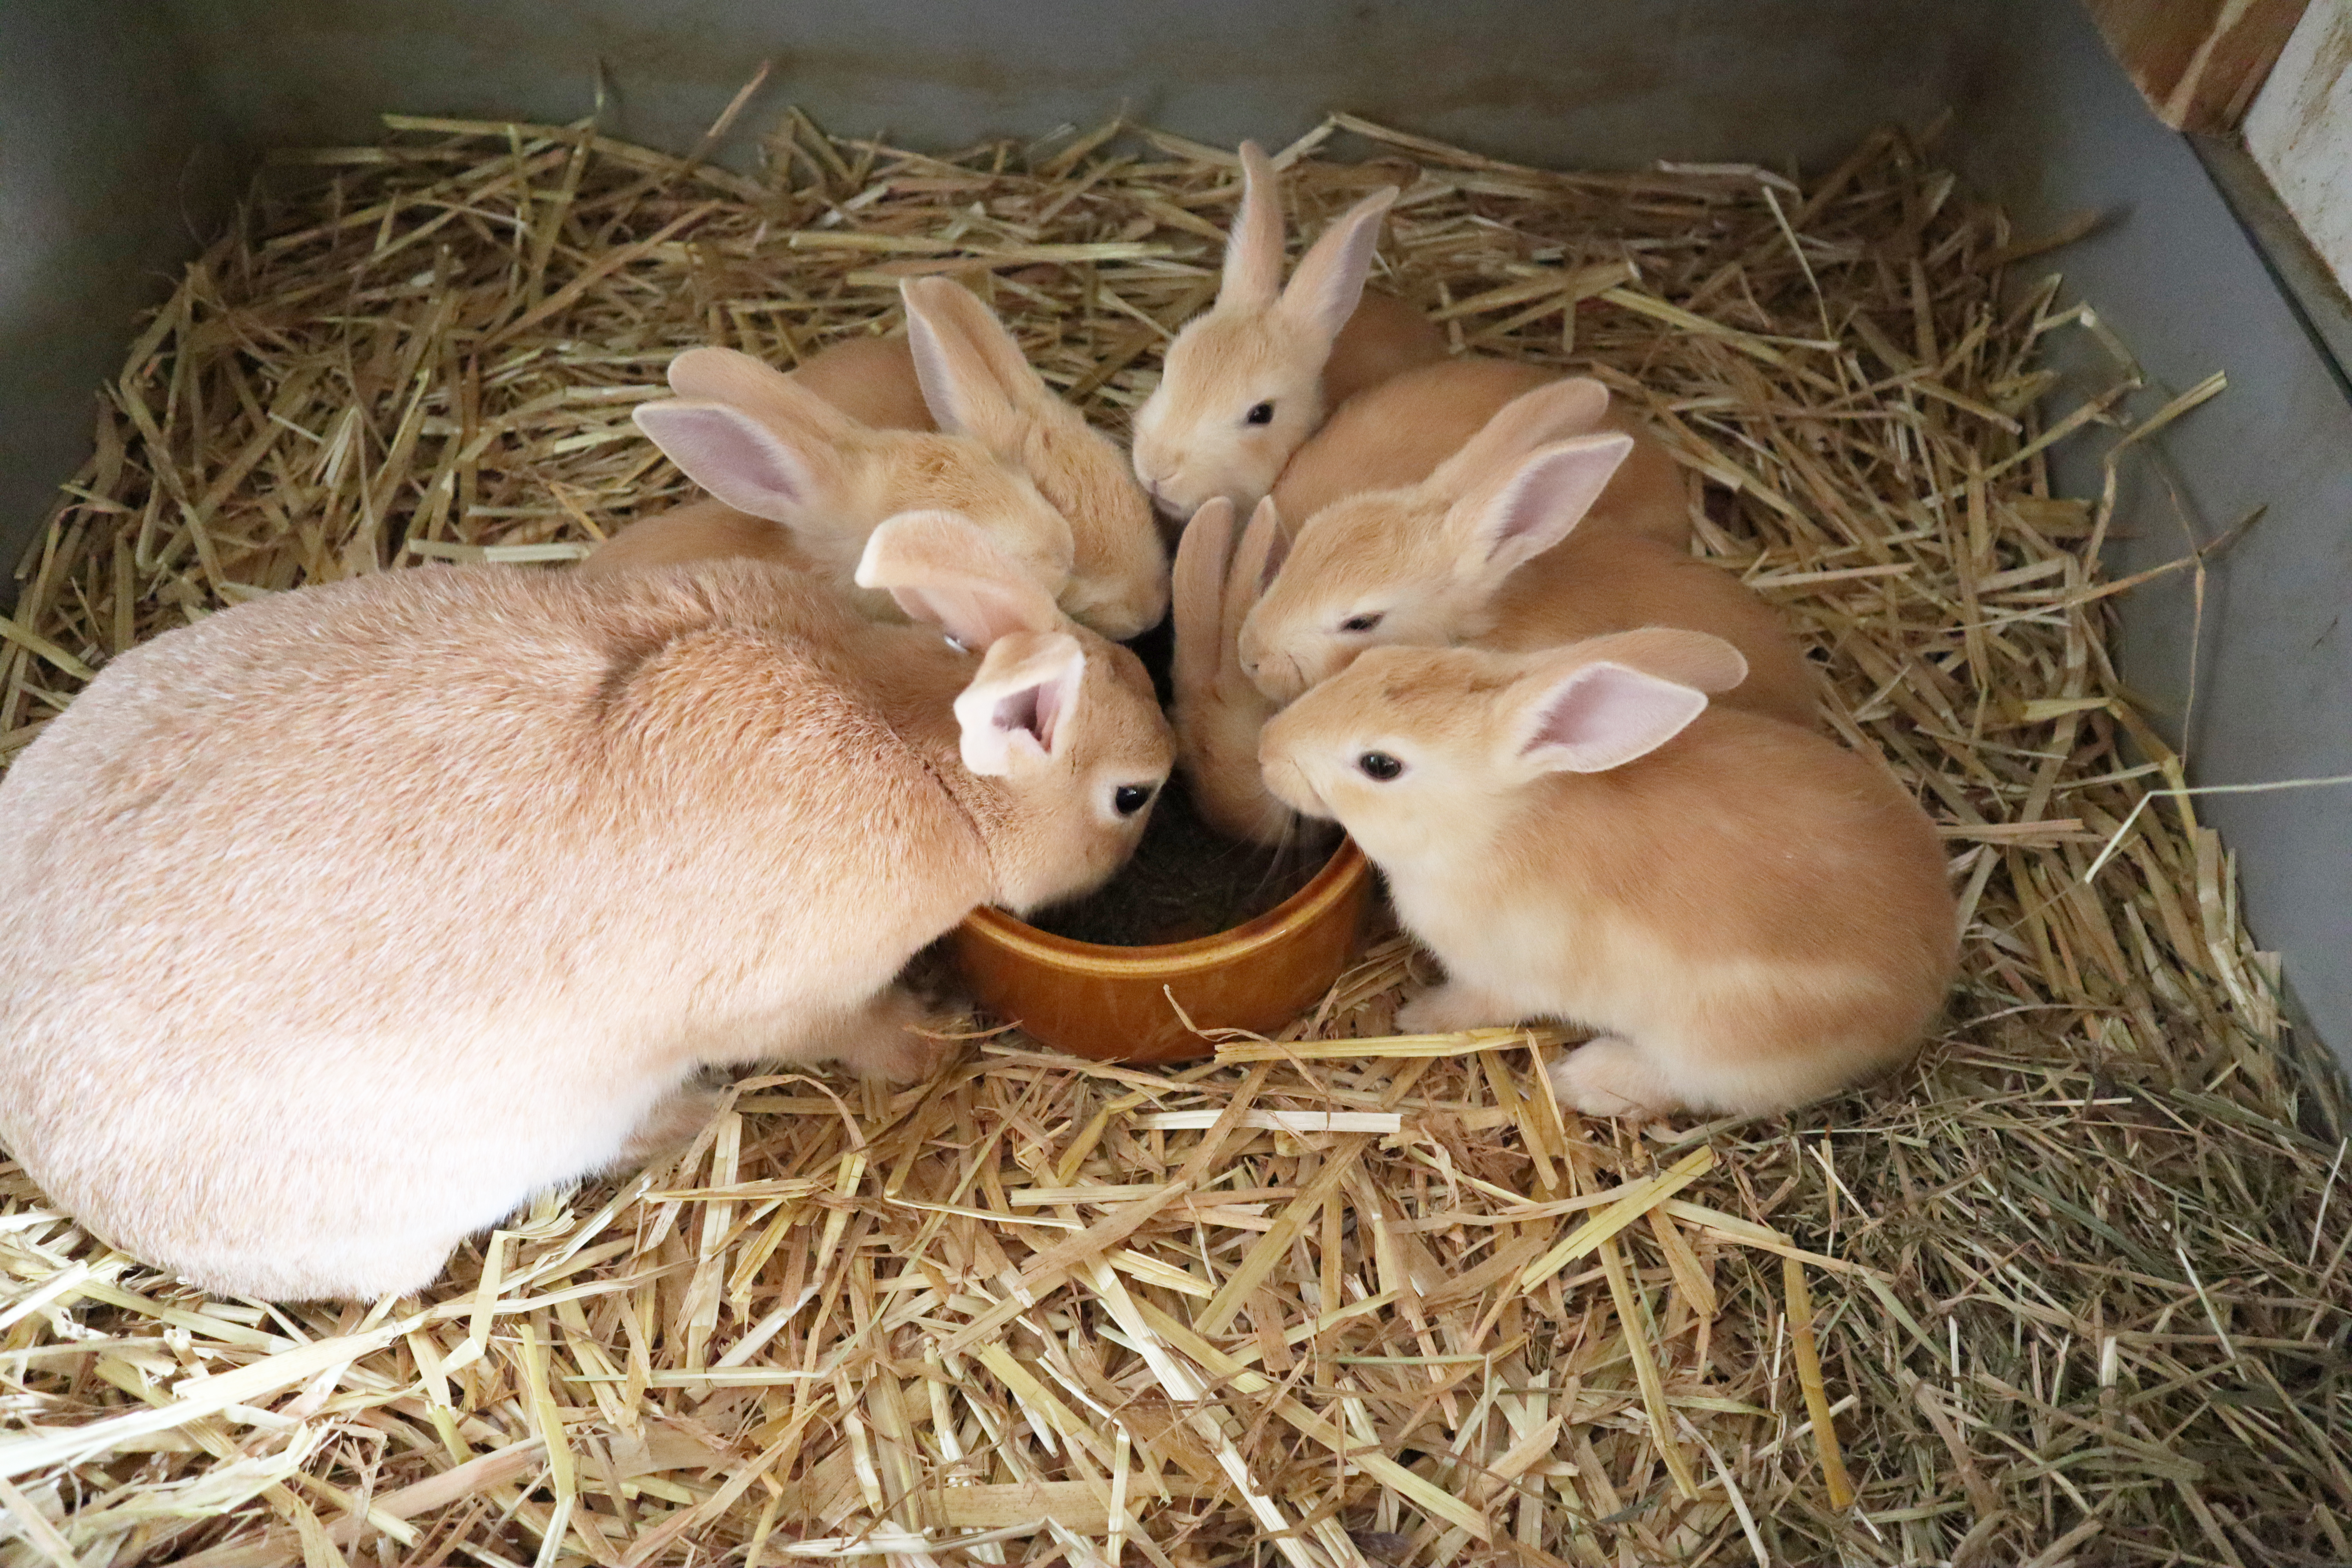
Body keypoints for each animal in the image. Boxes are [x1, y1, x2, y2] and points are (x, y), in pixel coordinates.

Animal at [0, 513, 1173, 1301]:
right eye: (1133, 797)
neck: (914, 744)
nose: (1167, 766)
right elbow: (860, 1036)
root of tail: (45, 1154)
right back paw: (691, 1117)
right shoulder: (804, 1002)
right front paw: (934, 1036)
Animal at [1257, 631, 1956, 1120]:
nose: (1269, 748)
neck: (1494, 824)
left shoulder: (1501, 976)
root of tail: (1922, 994)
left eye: (1380, 765)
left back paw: (1584, 1080)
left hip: (1721, 1044)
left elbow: (1474, 1006)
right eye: (1373, 662)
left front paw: (1414, 1018)